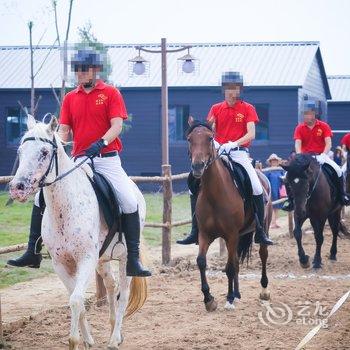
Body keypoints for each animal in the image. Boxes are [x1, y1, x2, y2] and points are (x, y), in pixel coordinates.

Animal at [9, 116, 146, 348]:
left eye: (44, 152)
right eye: (20, 151)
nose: (17, 188)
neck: (65, 208)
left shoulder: (86, 259)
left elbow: (76, 300)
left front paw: (74, 341)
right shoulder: (61, 263)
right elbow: (76, 299)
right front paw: (88, 340)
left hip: (125, 258)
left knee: (124, 294)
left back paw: (114, 339)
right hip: (103, 259)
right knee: (111, 286)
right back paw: (112, 330)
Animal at [187, 118, 272, 312]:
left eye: (210, 138)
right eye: (189, 139)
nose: (197, 166)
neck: (214, 194)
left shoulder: (231, 235)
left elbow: (230, 268)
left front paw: (229, 298)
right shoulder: (205, 234)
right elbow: (201, 261)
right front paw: (209, 299)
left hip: (262, 228)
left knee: (262, 254)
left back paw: (263, 291)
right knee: (236, 261)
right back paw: (237, 293)